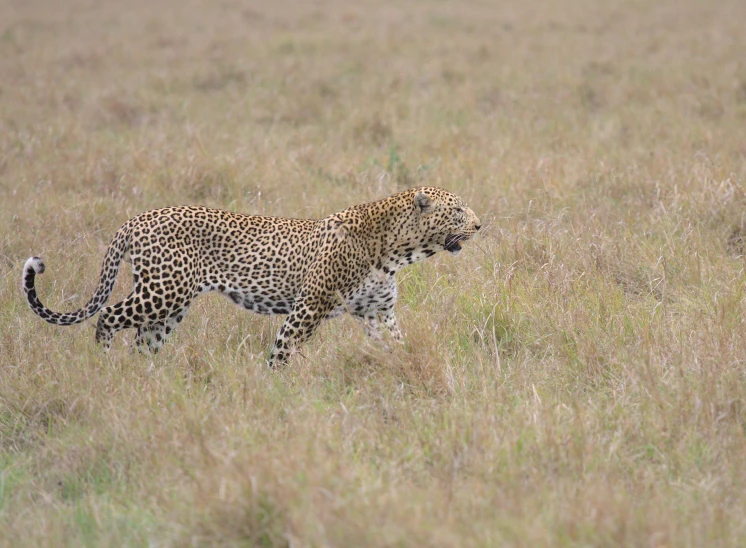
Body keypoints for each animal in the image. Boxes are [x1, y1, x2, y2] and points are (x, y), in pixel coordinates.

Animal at [23, 185, 480, 368]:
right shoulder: (308, 307)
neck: (396, 251)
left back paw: (143, 377)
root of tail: (136, 220)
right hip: (163, 292)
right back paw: (103, 362)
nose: (480, 224)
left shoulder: (378, 313)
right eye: (458, 210)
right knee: (108, 316)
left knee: (143, 340)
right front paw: (275, 388)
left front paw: (410, 369)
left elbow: (398, 347)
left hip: (171, 305)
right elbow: (283, 350)